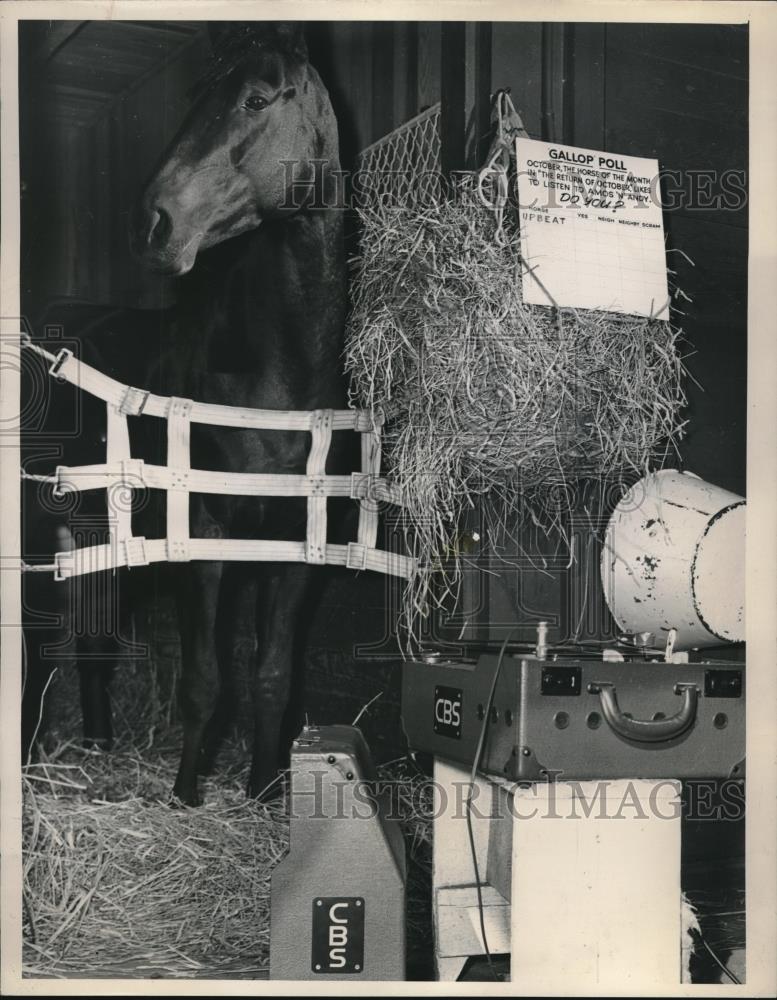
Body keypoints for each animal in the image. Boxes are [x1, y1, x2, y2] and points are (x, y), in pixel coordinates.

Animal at [128, 21, 348, 804]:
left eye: (256, 98)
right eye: (196, 95)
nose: (152, 223)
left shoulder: (294, 550)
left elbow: (272, 676)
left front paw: (263, 788)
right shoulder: (204, 534)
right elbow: (203, 678)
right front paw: (186, 793)